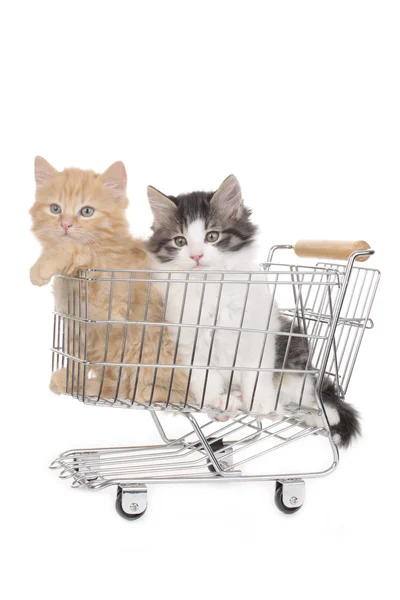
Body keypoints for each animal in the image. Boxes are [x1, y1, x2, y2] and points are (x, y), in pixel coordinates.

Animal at [29, 157, 189, 406]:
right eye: (55, 209)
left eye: (87, 211)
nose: (65, 224)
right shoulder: (77, 324)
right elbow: (75, 356)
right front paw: (71, 380)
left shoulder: (108, 306)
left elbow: (76, 247)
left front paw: (42, 266)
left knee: (162, 391)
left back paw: (140, 390)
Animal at [146, 173, 360, 446]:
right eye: (180, 241)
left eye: (212, 236)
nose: (196, 256)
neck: (212, 287)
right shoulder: (187, 341)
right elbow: (205, 377)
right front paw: (216, 404)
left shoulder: (259, 331)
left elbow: (257, 374)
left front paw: (260, 404)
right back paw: (235, 399)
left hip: (294, 355)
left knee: (308, 397)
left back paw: (321, 416)